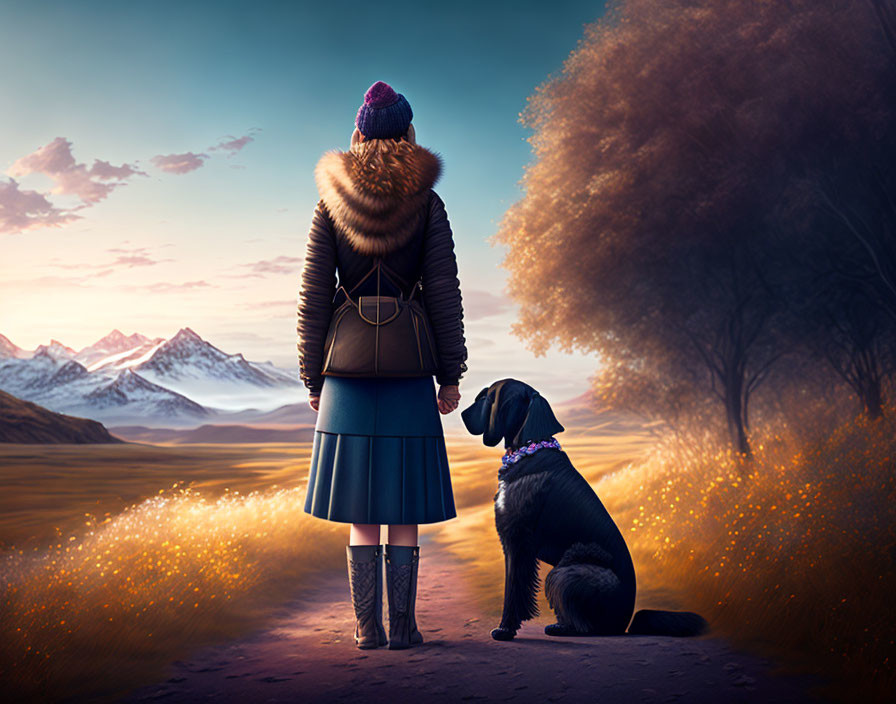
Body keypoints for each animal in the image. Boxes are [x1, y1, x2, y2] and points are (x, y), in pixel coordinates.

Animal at [462, 380, 708, 644]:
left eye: (487, 397)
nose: (462, 412)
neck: (529, 449)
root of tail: (625, 624)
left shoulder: (518, 542)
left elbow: (514, 590)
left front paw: (505, 630)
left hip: (566, 572)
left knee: (588, 626)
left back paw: (562, 628)